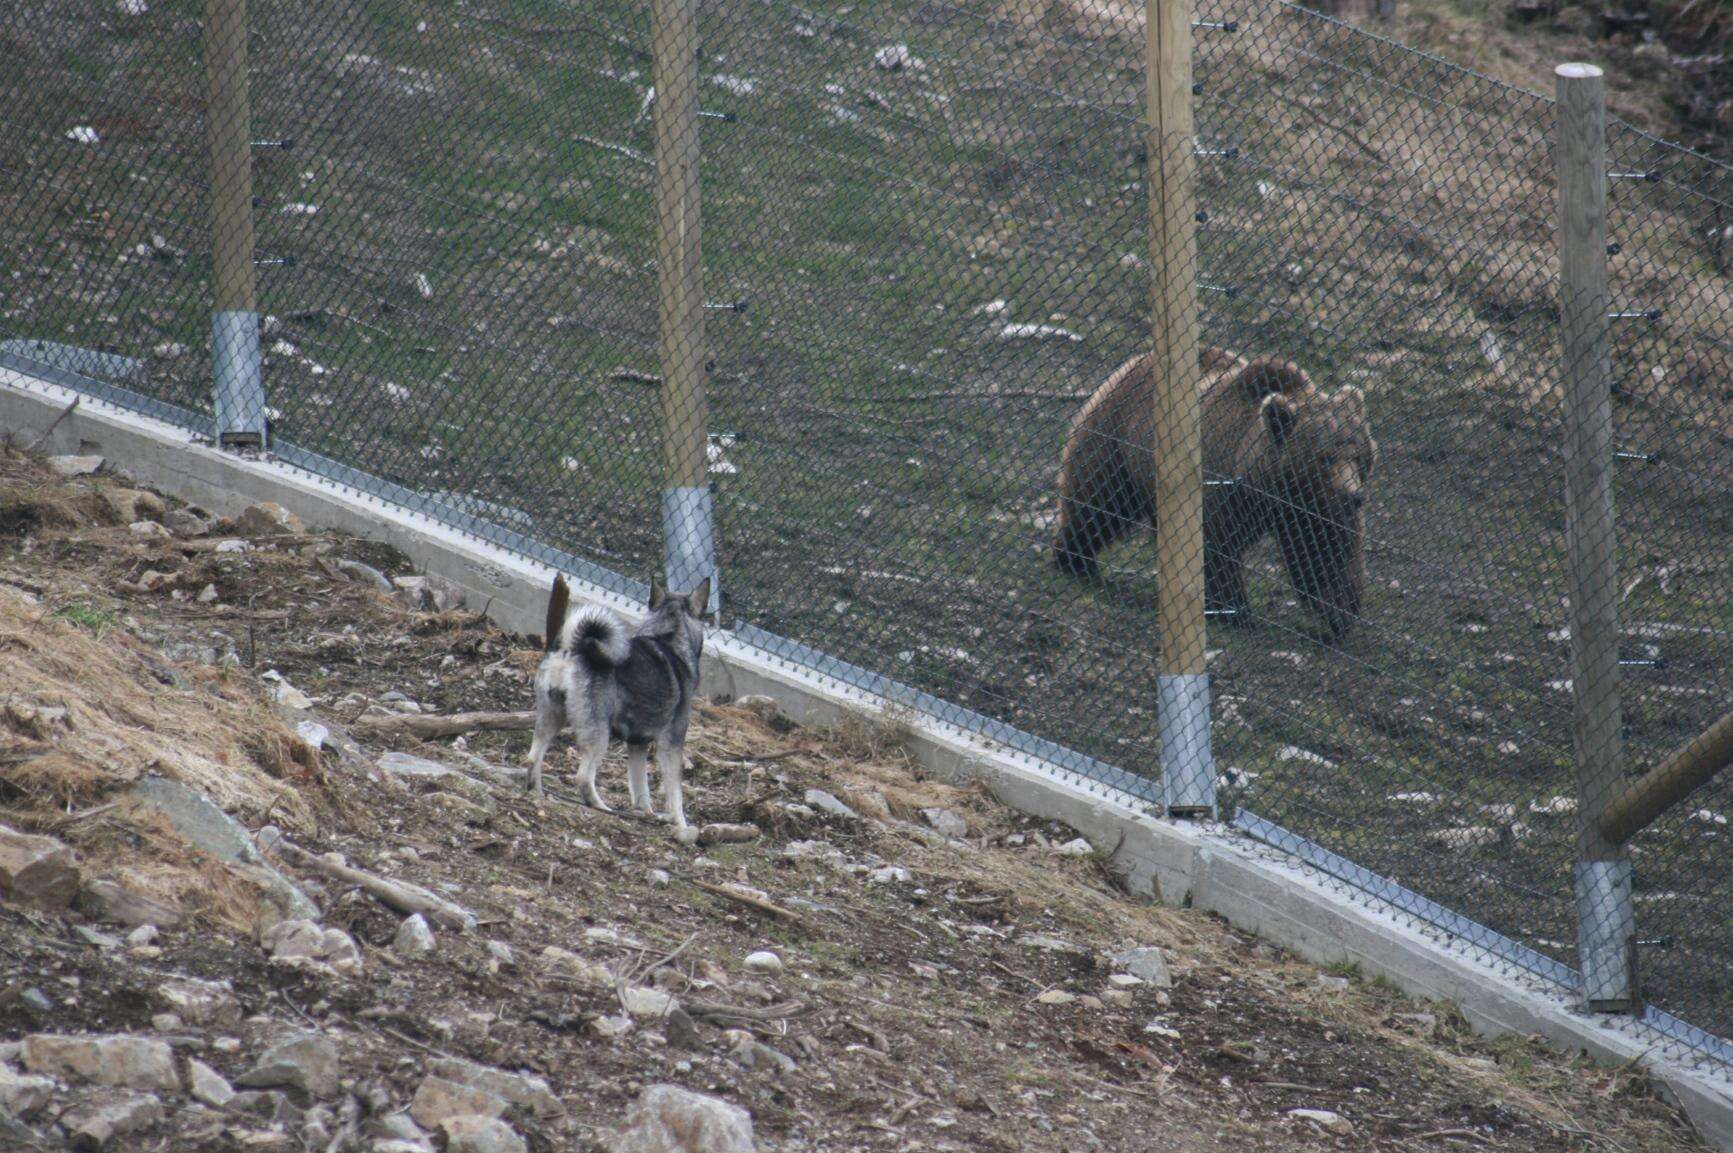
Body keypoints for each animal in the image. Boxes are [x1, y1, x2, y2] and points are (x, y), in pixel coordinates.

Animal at [526, 573, 711, 831]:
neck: (669, 638)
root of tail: (574, 649)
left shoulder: (637, 746)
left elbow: (640, 784)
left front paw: (645, 812)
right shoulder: (671, 744)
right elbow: (675, 793)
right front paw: (681, 825)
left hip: (550, 718)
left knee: (534, 757)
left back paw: (538, 793)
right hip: (598, 734)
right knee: (583, 777)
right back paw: (601, 807)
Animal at [1052, 345, 1378, 641]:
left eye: (1360, 455)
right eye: (1325, 458)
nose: (1354, 497)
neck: (1270, 488)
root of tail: (1137, 360)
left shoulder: (1311, 509)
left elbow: (1326, 549)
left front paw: (1341, 612)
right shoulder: (1222, 485)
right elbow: (1216, 546)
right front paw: (1234, 612)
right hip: (1115, 440)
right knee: (1096, 504)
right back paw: (1075, 559)